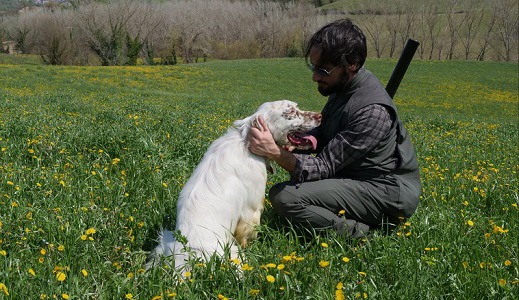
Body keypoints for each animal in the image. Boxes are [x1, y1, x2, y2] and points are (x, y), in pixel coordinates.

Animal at [146, 100, 322, 270]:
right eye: (291, 111)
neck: (246, 143)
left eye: (297, 106)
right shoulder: (251, 211)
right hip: (231, 252)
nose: (320, 116)